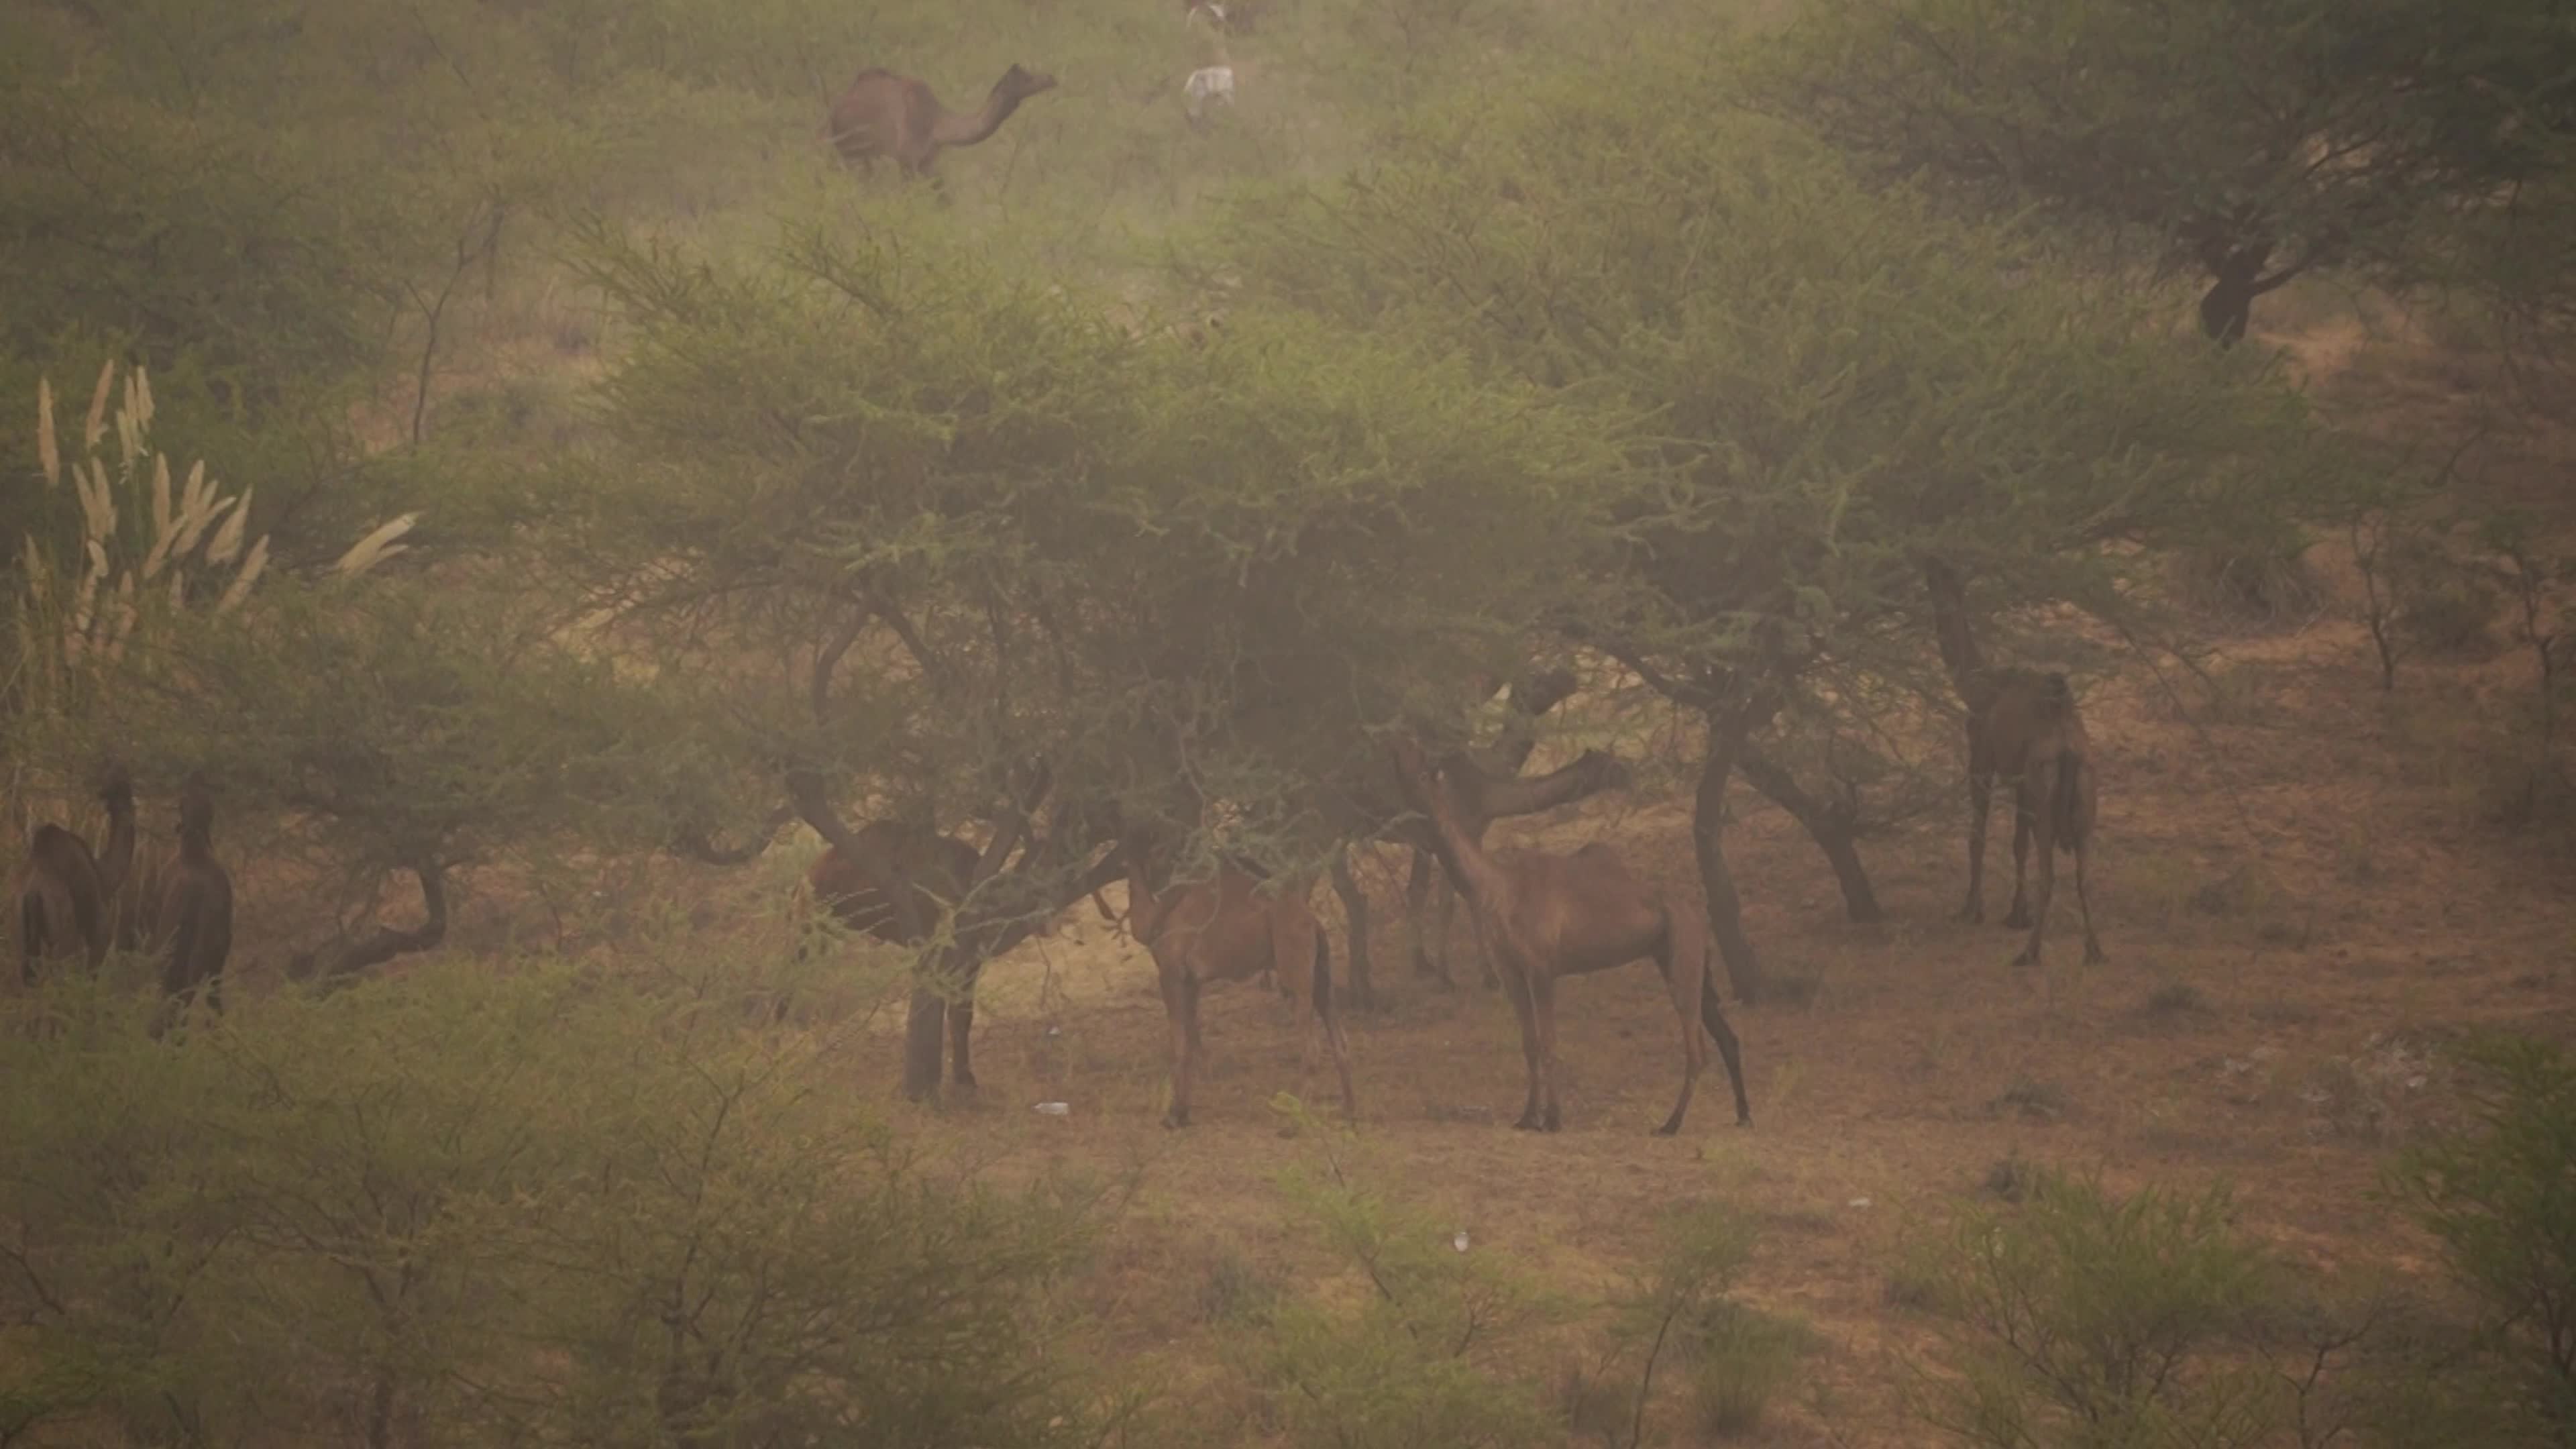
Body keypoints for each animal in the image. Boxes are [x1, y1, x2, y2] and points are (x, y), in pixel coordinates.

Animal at [823, 63, 1058, 181]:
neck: (937, 123)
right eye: (1026, 78)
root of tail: (834, 110)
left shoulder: (929, 160)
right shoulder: (907, 159)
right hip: (851, 151)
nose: (1051, 78)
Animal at [1122, 835, 1355, 1129]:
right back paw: (1350, 1112)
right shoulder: (1191, 982)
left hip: (1294, 967)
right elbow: (1191, 1038)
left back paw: (1294, 1122)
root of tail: (1313, 921)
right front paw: (1183, 1111)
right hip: (1321, 974)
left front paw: (1175, 1115)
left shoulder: (1172, 974)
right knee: (1339, 1037)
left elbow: (1180, 1045)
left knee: (1311, 1046)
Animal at [1389, 738, 1750, 1135]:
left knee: (1697, 1048)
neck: (1498, 889)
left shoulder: (1541, 968)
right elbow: (1530, 1044)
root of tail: (1698, 916)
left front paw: (1553, 1118)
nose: (1400, 754)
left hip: (1683, 952)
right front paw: (1526, 1116)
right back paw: (1743, 1115)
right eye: (1404, 768)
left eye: (1425, 771)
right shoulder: (1512, 972)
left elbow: (1548, 1043)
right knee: (1724, 1033)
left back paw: (1670, 1124)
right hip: (1679, 957)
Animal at [1959, 668, 2104, 968]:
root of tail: (2067, 750)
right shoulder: (2023, 787)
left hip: (2044, 812)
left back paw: (2029, 952)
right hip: (2084, 807)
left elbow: (1977, 837)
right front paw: (2017, 914)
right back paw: (2094, 951)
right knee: (2084, 878)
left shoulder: (1982, 761)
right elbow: (2019, 844)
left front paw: (1972, 910)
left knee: (2048, 878)